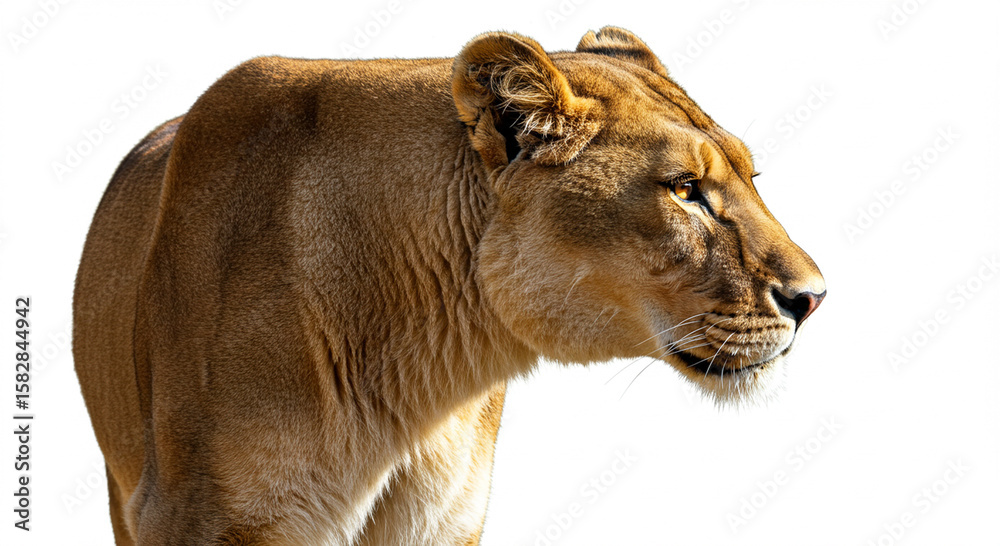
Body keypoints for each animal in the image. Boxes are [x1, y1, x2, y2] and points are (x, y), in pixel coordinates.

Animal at [73, 26, 825, 545]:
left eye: (750, 176)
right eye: (685, 189)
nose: (814, 298)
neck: (409, 387)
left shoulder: (441, 524)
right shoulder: (195, 514)